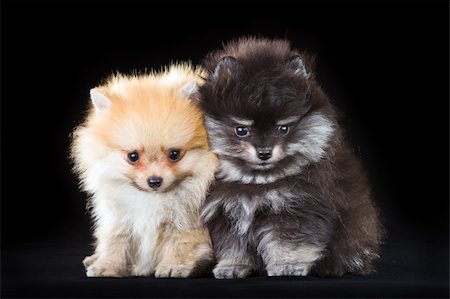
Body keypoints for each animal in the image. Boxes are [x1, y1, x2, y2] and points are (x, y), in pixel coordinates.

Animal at [71, 63, 218, 278]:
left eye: (174, 154)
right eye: (133, 156)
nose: (154, 181)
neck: (151, 199)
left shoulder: (186, 222)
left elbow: (182, 244)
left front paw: (173, 266)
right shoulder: (120, 218)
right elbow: (115, 242)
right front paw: (106, 265)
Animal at [200, 37, 384, 278]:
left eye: (283, 128)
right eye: (242, 130)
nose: (264, 153)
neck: (258, 182)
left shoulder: (296, 205)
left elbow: (288, 241)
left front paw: (289, 265)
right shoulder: (227, 211)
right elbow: (232, 245)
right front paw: (232, 266)